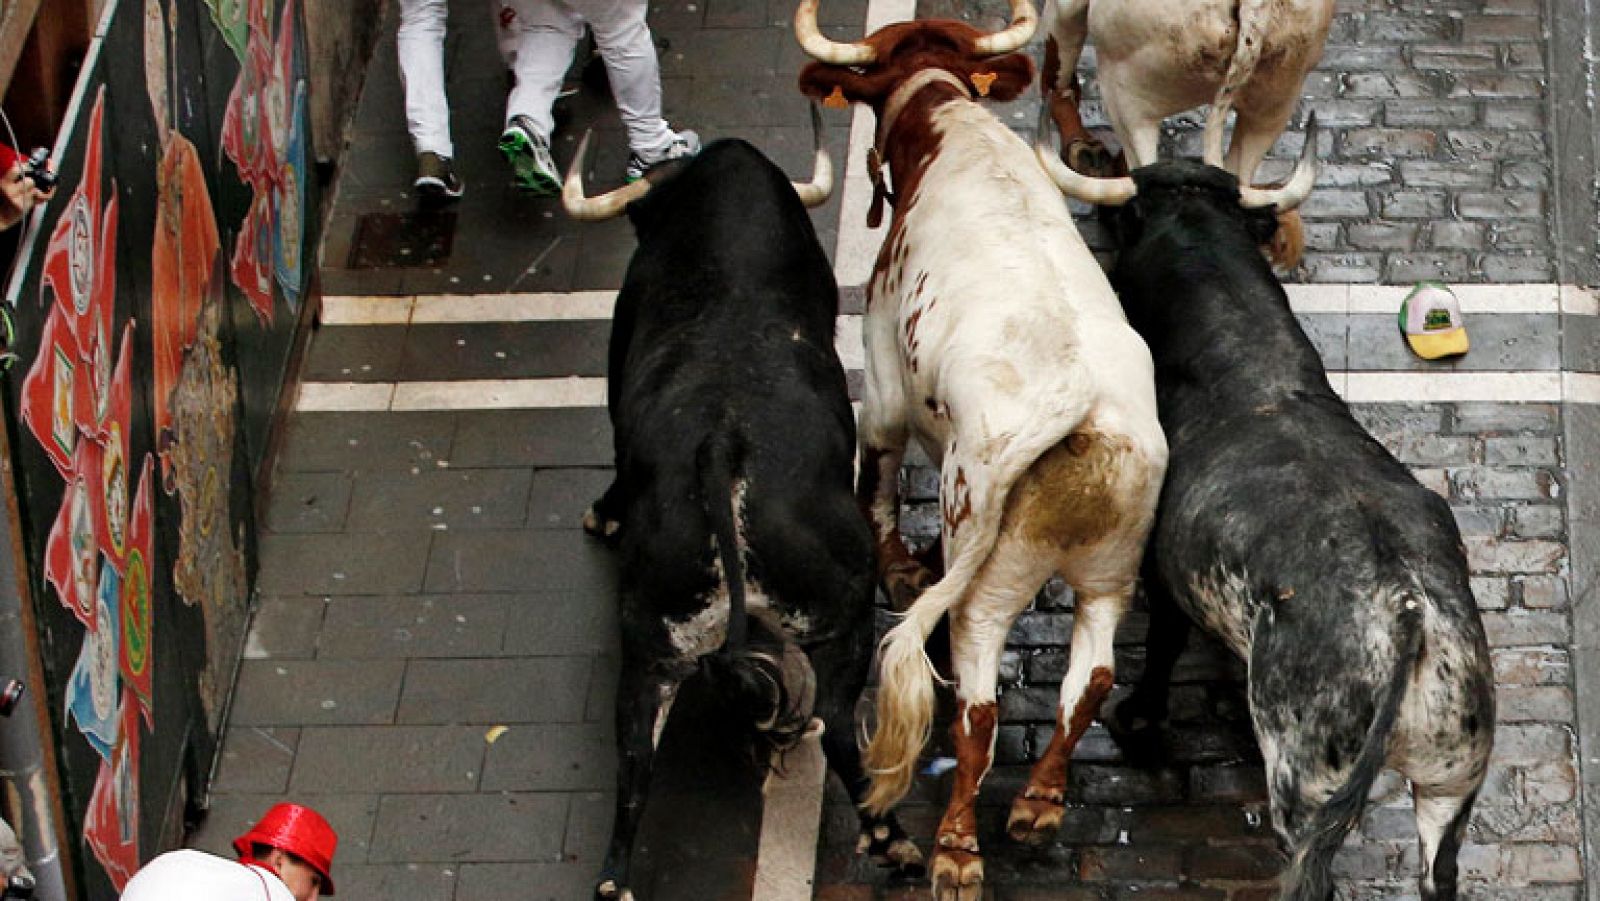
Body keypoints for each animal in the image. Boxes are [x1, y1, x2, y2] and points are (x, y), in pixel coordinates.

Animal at [582, 140, 921, 901]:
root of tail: (721, 447)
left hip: (652, 643)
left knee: (631, 757)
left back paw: (615, 879)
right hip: (840, 621)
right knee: (837, 725)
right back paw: (889, 838)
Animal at [796, 3, 1164, 896]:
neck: (946, 122)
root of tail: (1080, 406)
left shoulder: (883, 379)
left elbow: (878, 477)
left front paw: (899, 563)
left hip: (987, 587)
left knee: (977, 707)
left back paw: (957, 847)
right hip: (1109, 572)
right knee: (1088, 681)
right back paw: (1039, 803)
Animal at [1100, 162, 1497, 901]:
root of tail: (1408, 611)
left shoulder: (1163, 579)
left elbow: (1162, 650)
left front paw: (1136, 718)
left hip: (1304, 791)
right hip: (1452, 782)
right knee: (1441, 870)